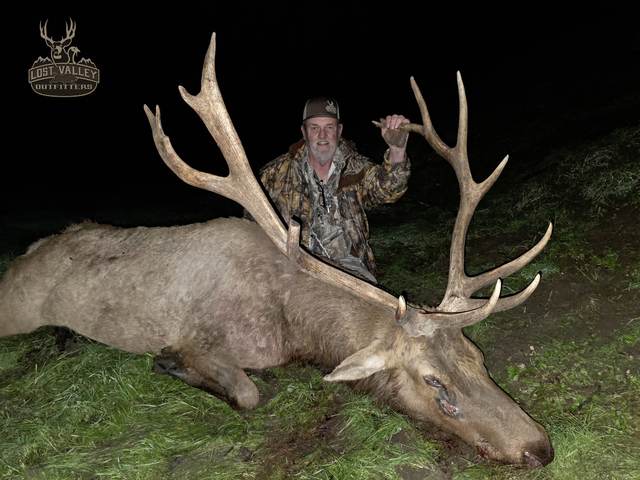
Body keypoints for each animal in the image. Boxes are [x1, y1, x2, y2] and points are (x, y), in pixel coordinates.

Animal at [0, 33, 554, 467]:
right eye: (434, 382)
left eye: (477, 356)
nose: (540, 448)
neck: (292, 327)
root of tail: (24, 256)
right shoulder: (201, 337)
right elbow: (246, 392)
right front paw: (169, 365)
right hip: (16, 310)